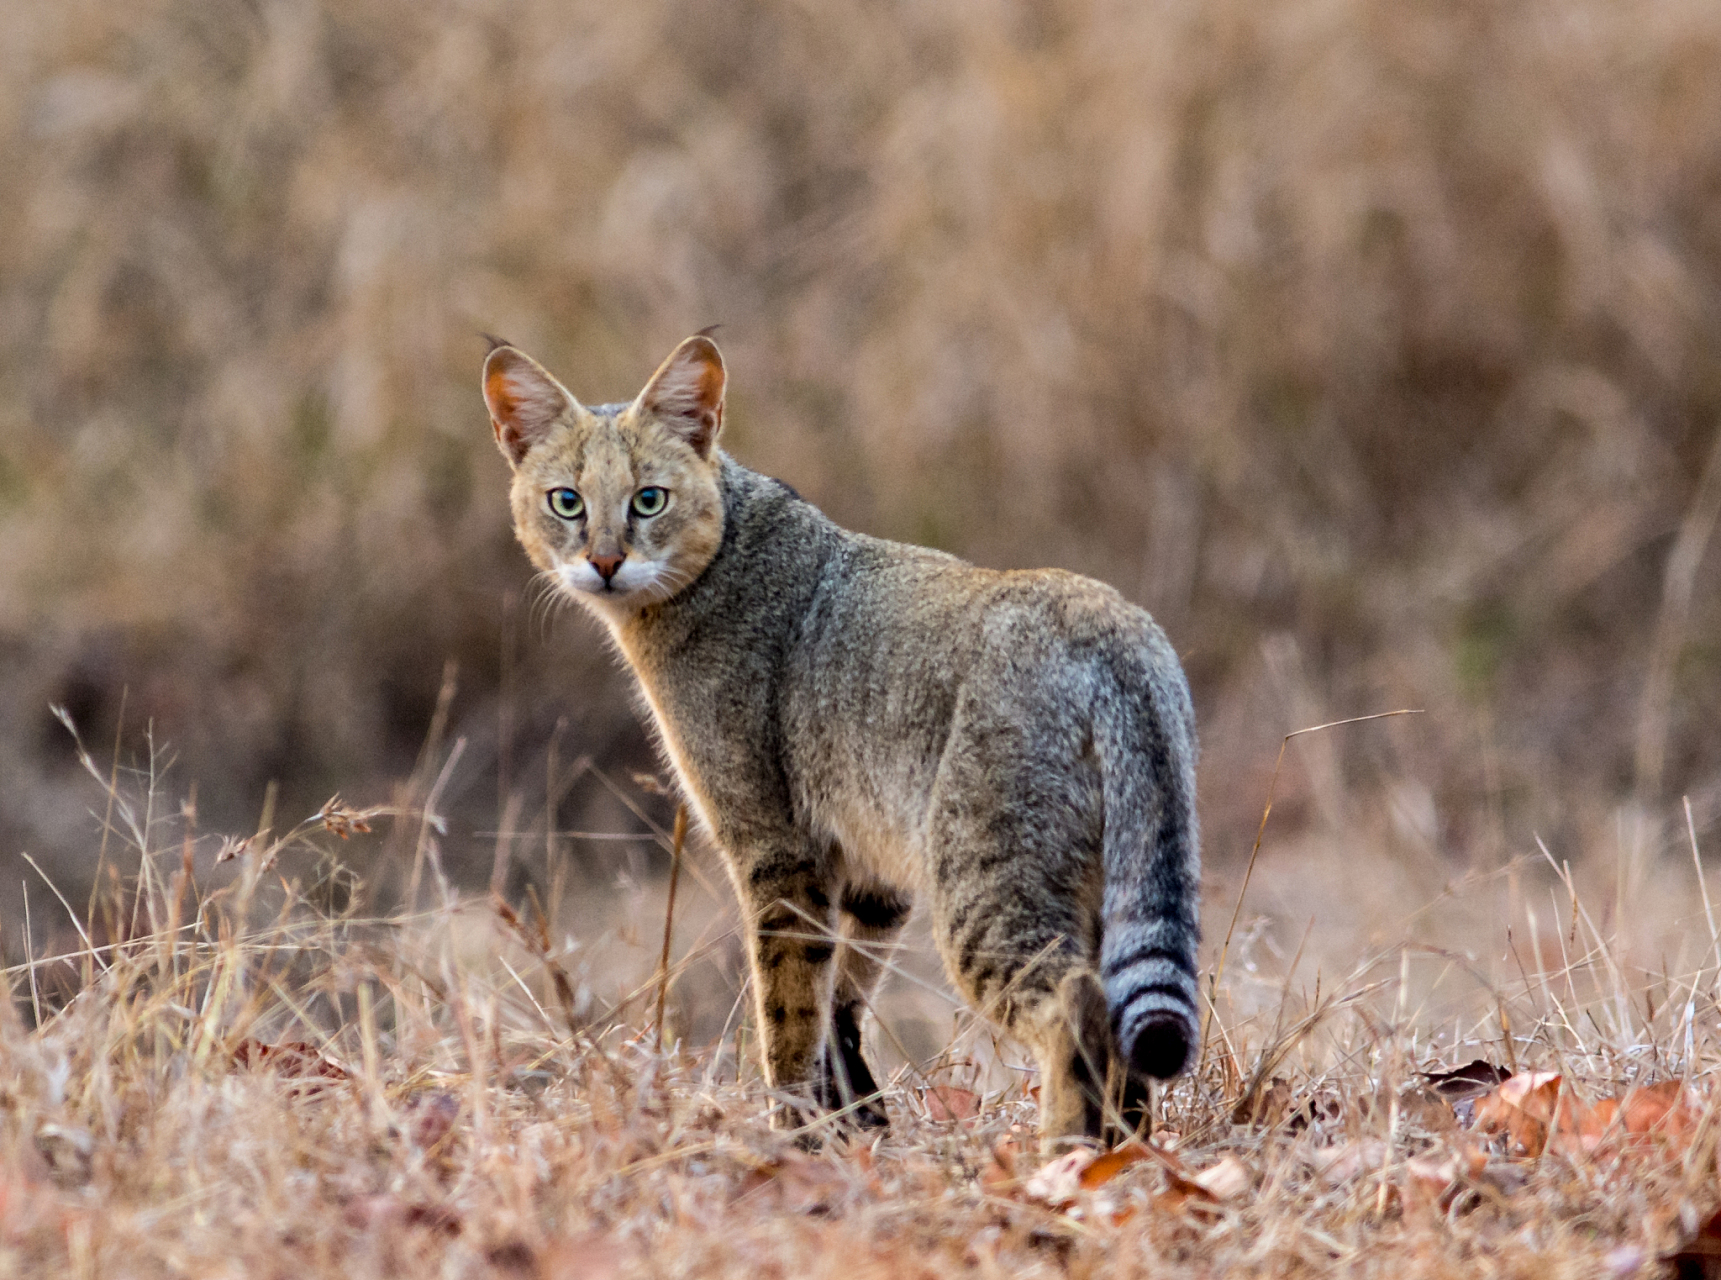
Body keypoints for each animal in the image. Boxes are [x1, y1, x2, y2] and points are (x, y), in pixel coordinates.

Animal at [478, 332, 1204, 1149]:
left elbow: (788, 1011)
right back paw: (1127, 1154)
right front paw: (852, 1120)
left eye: (648, 499)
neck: (725, 553)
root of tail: (1110, 626)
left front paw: (788, 1135)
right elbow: (841, 998)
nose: (604, 562)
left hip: (985, 881)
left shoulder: (776, 851)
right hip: (1112, 872)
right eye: (565, 502)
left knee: (1076, 1004)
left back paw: (1069, 1155)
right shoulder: (867, 870)